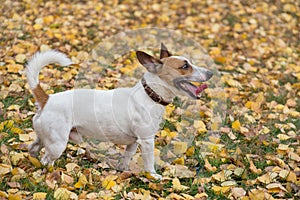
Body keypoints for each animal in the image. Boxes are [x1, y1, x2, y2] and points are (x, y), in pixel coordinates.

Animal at [26, 44, 213, 180]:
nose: (211, 72)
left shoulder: (133, 142)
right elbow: (149, 161)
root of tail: (47, 99)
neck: (149, 94)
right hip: (57, 144)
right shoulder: (147, 141)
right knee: (46, 160)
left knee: (33, 149)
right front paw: (153, 176)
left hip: (45, 138)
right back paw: (52, 173)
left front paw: (123, 171)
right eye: (185, 66)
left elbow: (126, 157)